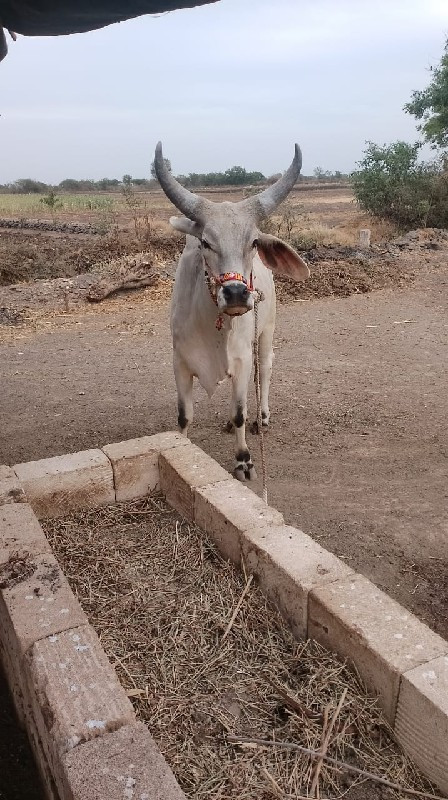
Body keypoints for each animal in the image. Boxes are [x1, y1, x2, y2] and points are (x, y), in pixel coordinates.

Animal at [154, 143, 308, 478]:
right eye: (205, 242)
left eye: (253, 242)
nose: (236, 294)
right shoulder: (179, 362)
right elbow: (183, 415)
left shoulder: (242, 360)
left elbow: (239, 412)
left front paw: (243, 459)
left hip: (266, 332)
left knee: (265, 369)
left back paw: (262, 417)